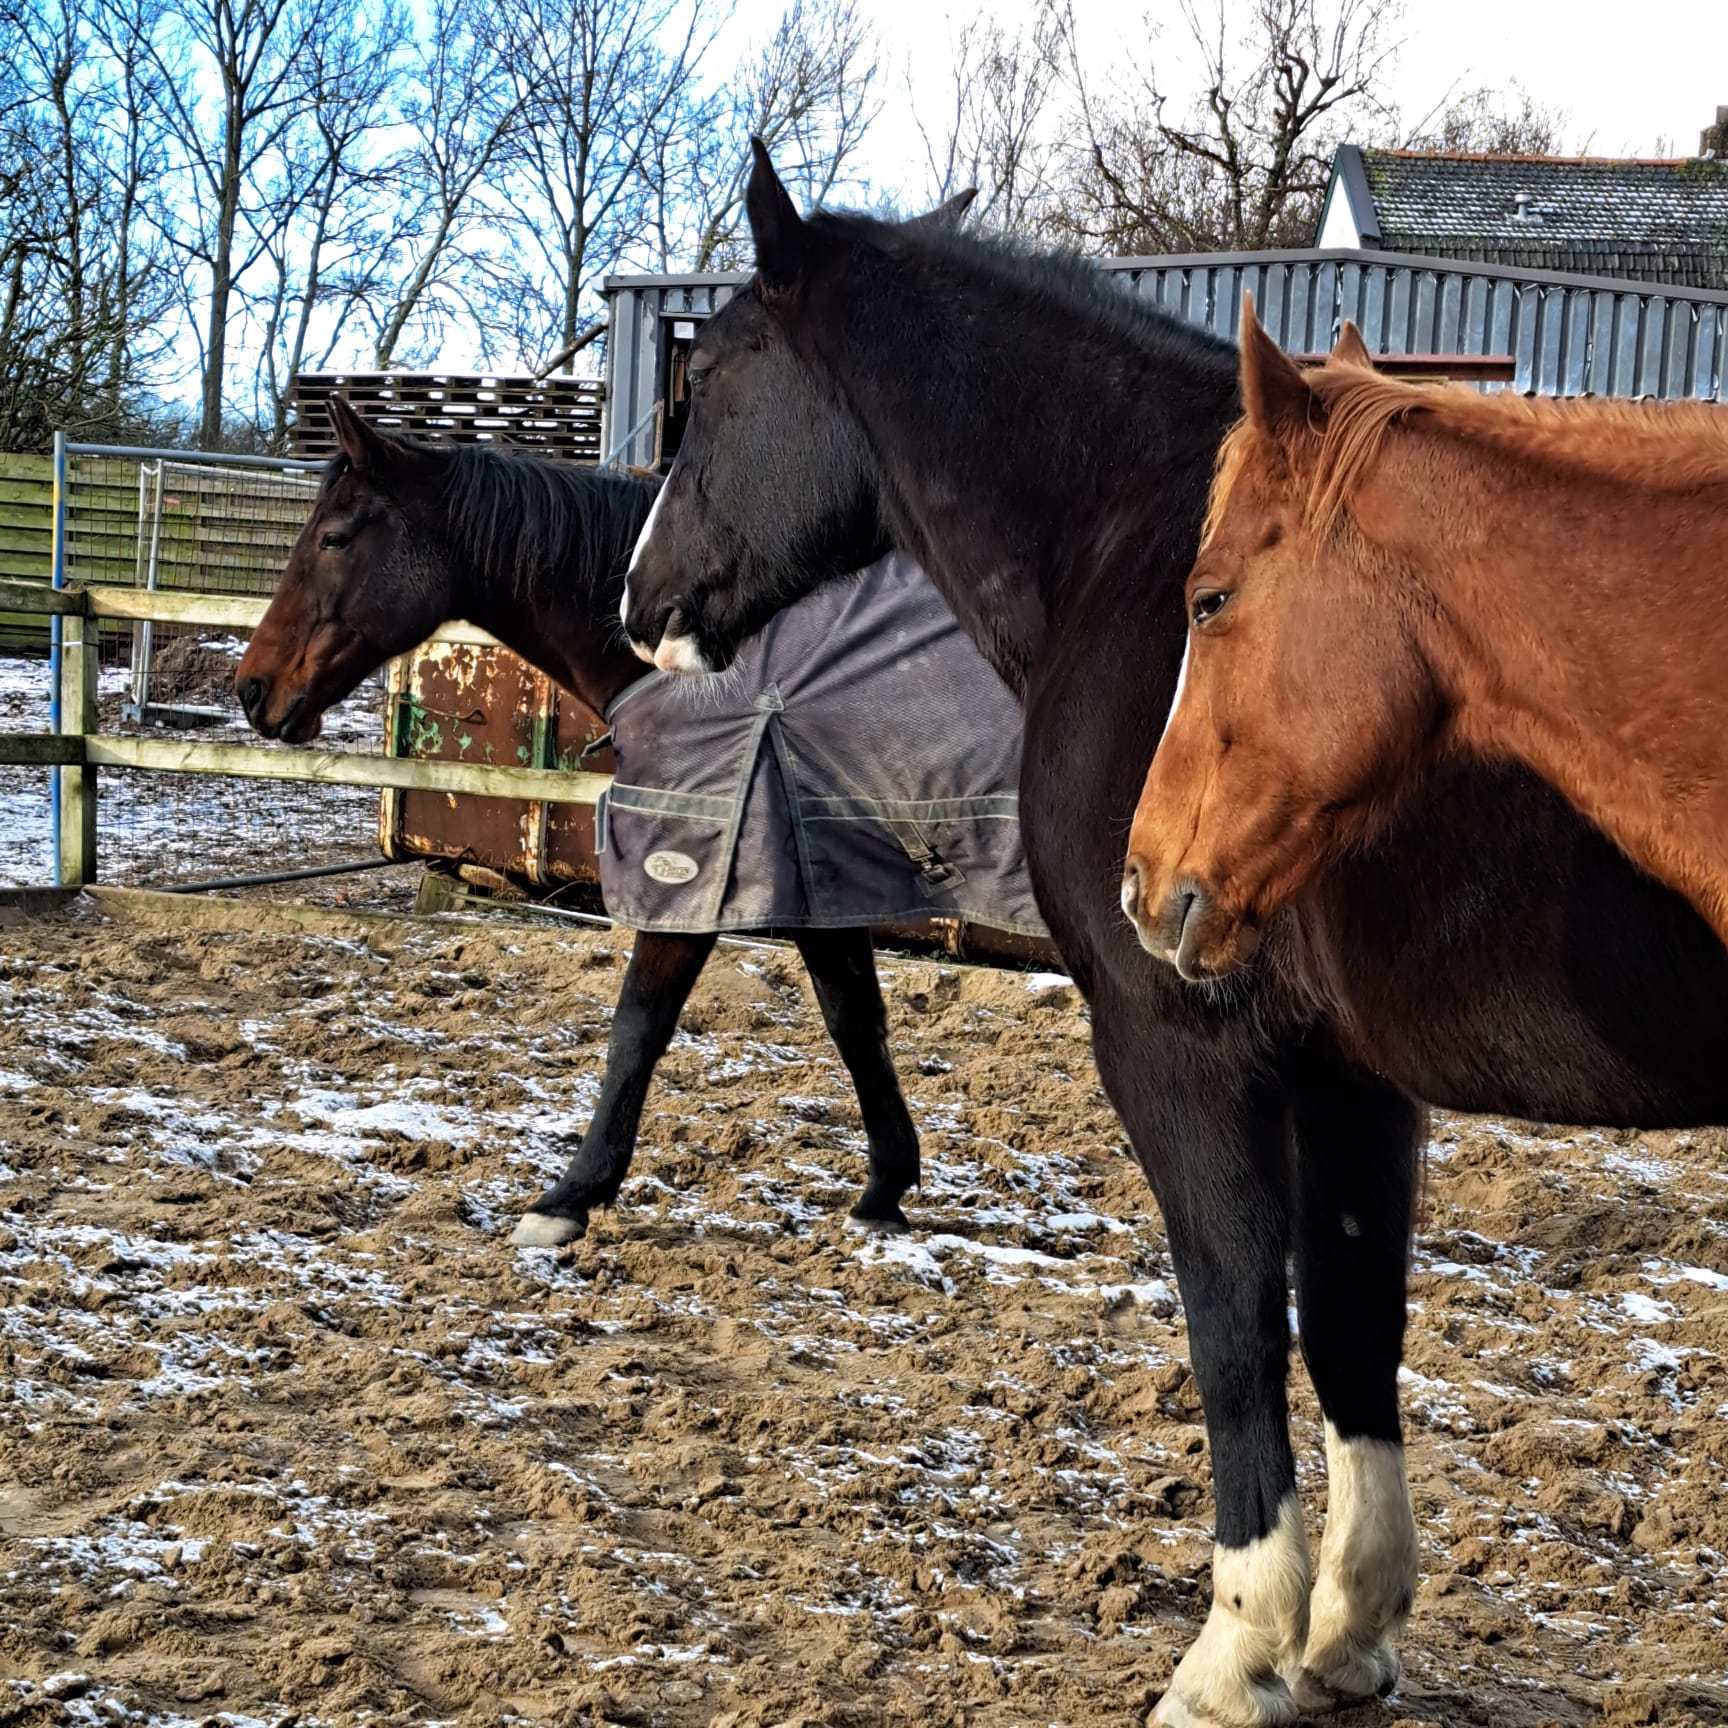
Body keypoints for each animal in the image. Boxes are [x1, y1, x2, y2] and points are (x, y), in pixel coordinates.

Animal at [235, 399, 940, 1251]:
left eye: (334, 538)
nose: (252, 688)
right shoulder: (819, 870)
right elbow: (853, 1018)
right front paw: (885, 1186)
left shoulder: (693, 865)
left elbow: (639, 1025)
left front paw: (571, 1194)